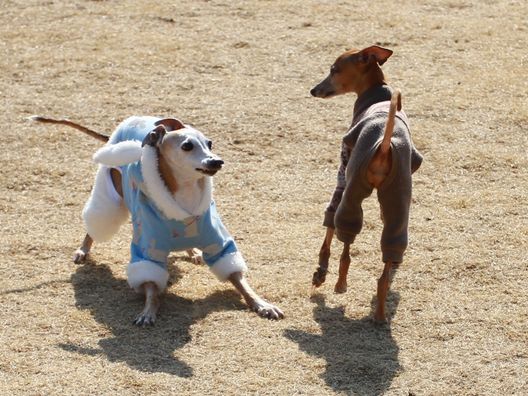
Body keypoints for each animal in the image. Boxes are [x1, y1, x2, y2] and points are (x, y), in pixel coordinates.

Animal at [312, 45, 422, 322]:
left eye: (334, 69)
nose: (314, 90)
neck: (375, 93)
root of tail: (384, 145)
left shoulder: (343, 172)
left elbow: (328, 229)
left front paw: (320, 272)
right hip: (397, 198)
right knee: (385, 270)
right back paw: (380, 316)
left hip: (353, 191)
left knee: (346, 245)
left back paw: (340, 284)